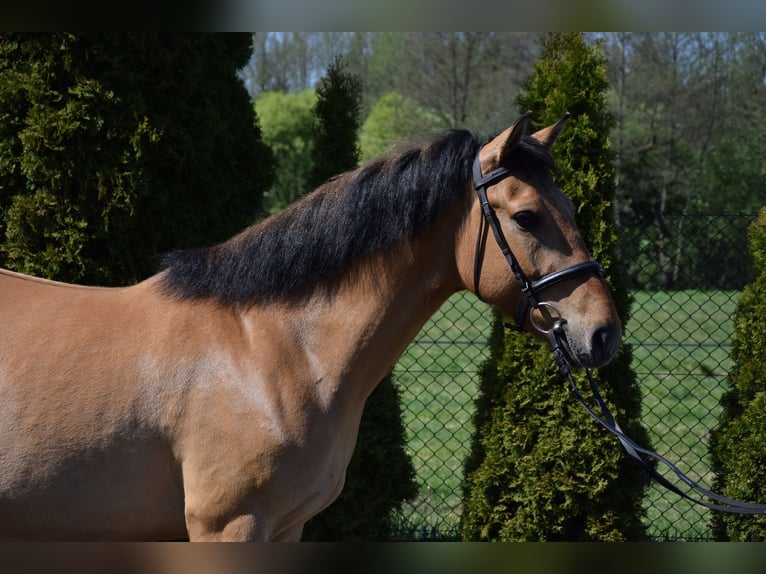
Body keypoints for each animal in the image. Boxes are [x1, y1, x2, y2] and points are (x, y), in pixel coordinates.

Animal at [0, 112, 621, 541]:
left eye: (569, 206)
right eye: (526, 216)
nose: (603, 334)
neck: (275, 349)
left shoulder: (285, 528)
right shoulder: (229, 527)